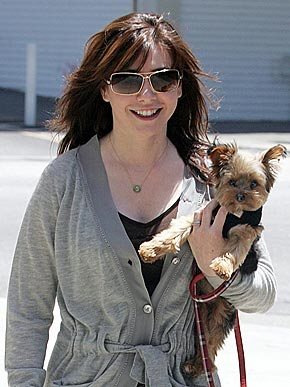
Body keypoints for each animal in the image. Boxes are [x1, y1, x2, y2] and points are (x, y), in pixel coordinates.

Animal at [139, 143, 286, 378]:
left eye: (254, 184)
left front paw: (221, 265)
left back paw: (199, 366)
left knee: (211, 342)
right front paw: (151, 249)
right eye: (232, 182)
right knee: (205, 339)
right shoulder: (198, 218)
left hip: (221, 313)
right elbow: (176, 230)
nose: (241, 195)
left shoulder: (246, 232)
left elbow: (234, 251)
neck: (234, 215)